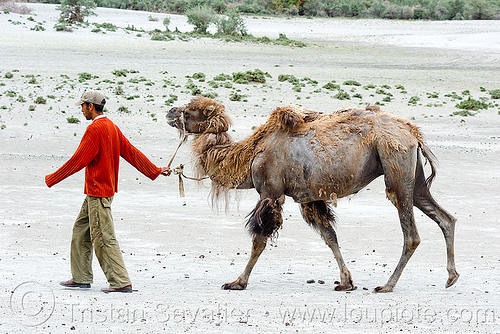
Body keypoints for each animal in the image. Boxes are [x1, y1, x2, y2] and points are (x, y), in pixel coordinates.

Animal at [166, 96, 458, 292]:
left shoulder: (271, 191)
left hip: (395, 164)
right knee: (445, 217)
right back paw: (451, 277)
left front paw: (237, 282)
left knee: (411, 234)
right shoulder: (309, 197)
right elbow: (330, 237)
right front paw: (346, 282)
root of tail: (413, 133)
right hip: (413, 177)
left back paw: (387, 285)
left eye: (190, 110)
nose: (170, 111)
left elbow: (259, 239)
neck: (250, 155)